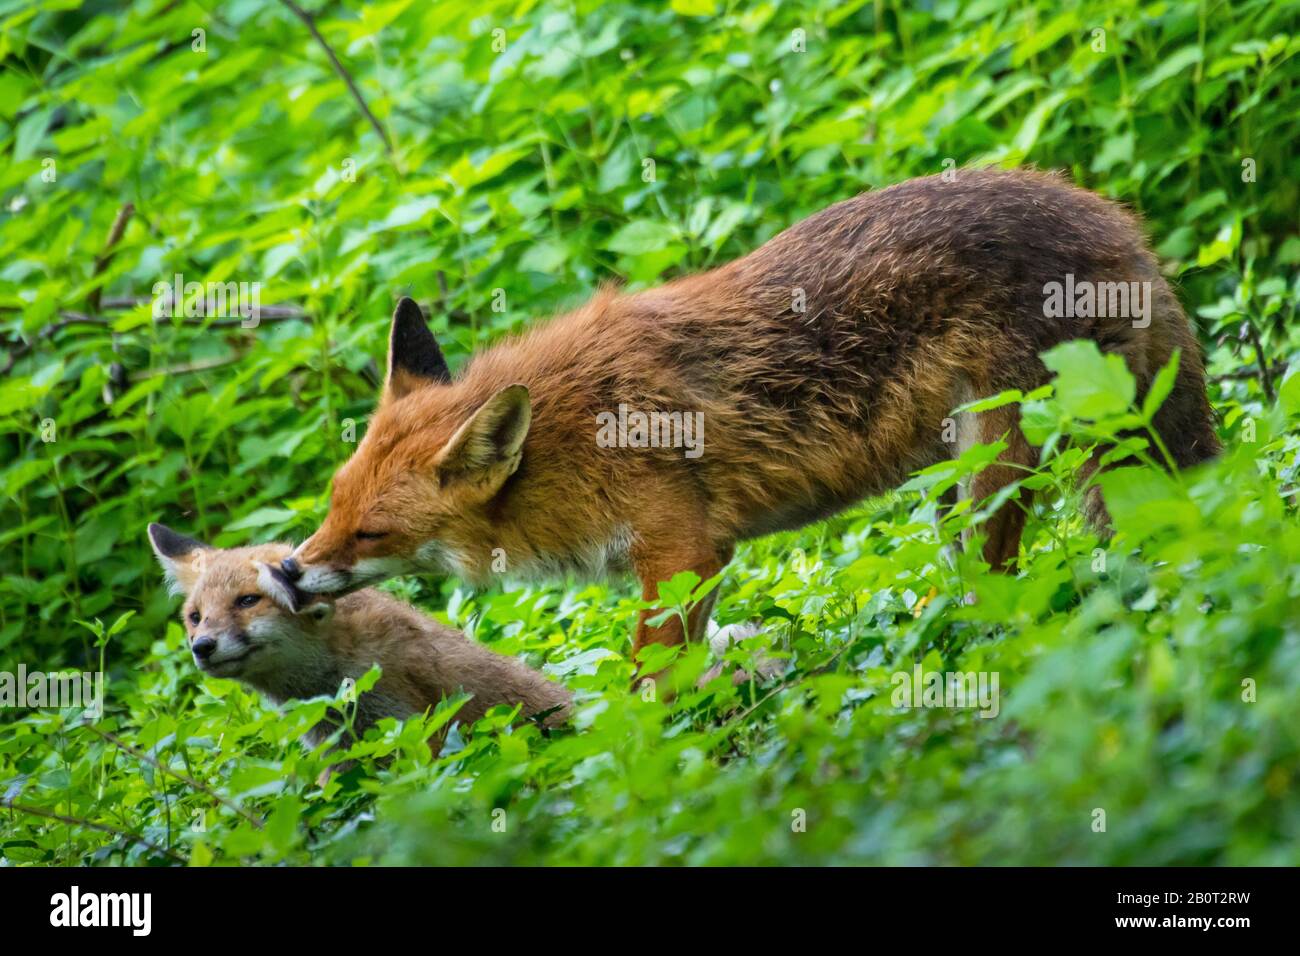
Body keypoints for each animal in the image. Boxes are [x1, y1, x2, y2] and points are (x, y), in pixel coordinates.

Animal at [282, 166, 1216, 671]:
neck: (568, 438)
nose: (289, 572)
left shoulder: (685, 552)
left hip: (996, 466)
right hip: (971, 482)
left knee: (1006, 585)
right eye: (330, 506)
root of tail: (1111, 216)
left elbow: (646, 688)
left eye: (370, 534)